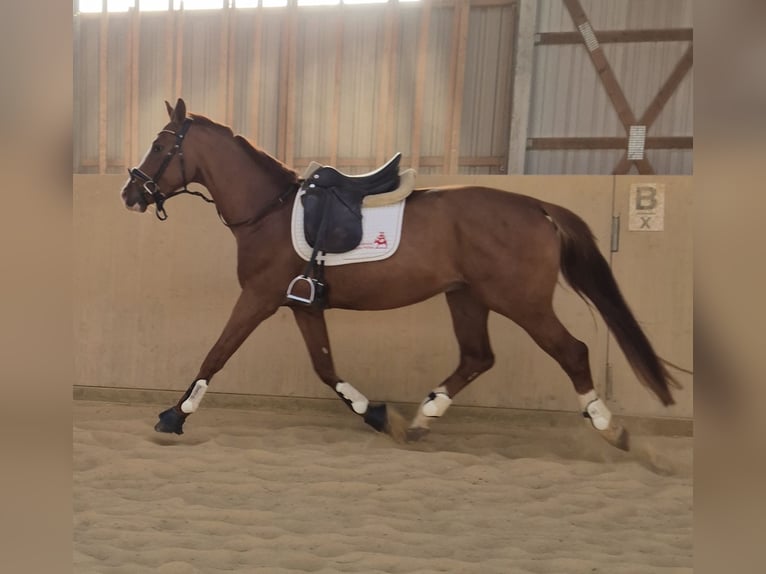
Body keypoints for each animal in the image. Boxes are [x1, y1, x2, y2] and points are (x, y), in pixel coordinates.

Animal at [119, 98, 683, 451]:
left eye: (160, 146)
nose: (130, 193)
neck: (270, 210)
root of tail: (537, 208)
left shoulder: (258, 297)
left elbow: (216, 353)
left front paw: (174, 415)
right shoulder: (303, 303)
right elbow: (325, 368)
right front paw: (375, 413)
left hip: (520, 301)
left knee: (572, 352)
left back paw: (610, 428)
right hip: (467, 297)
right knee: (477, 357)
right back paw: (421, 419)